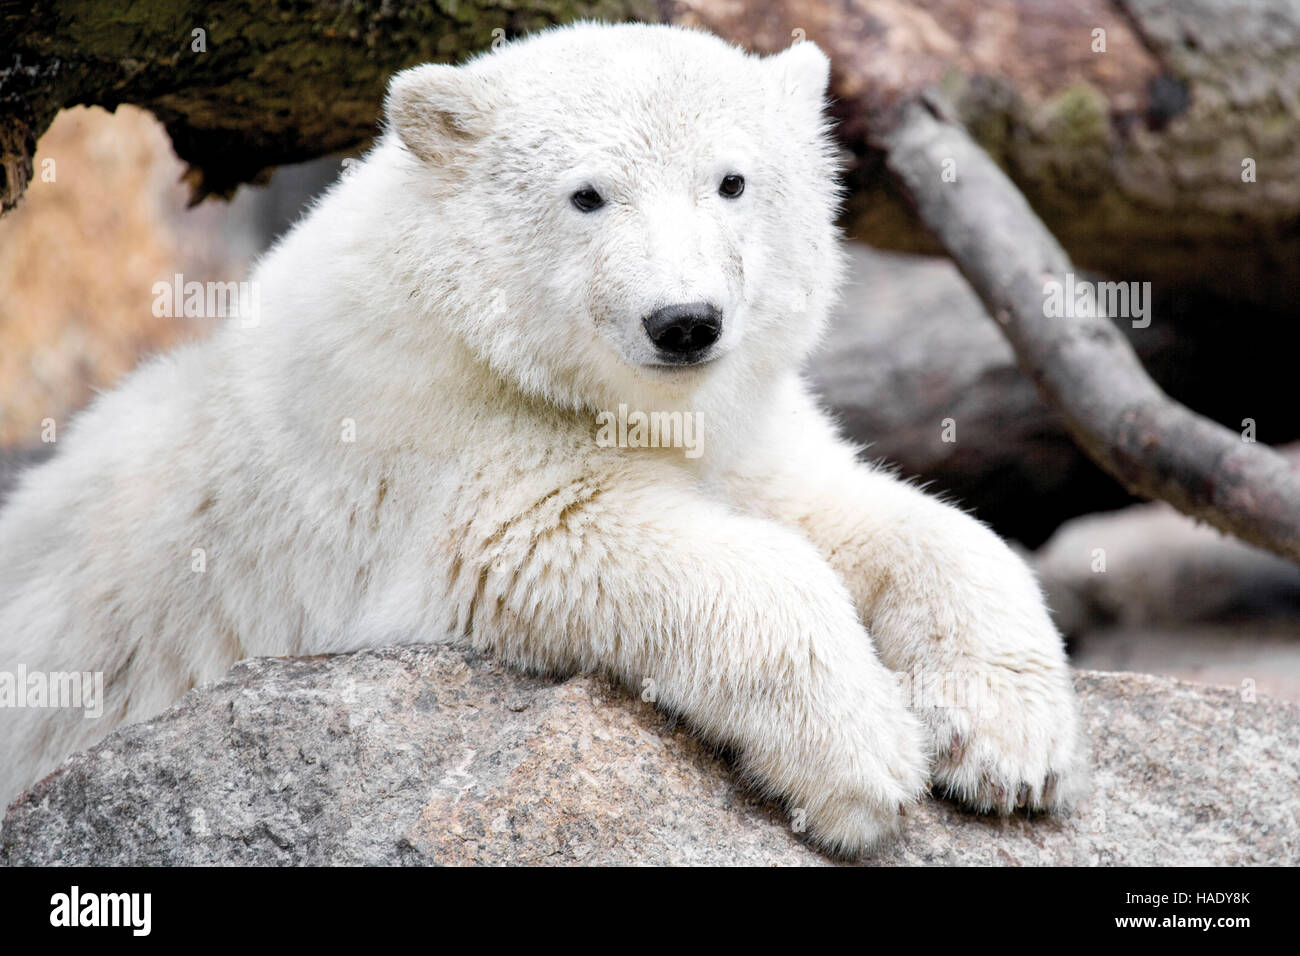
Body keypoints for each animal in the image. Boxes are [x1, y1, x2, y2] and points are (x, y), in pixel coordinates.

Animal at [0, 21, 1086, 854]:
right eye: (587, 193)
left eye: (732, 181)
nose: (684, 321)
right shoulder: (429, 446)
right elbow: (582, 534)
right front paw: (862, 764)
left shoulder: (738, 421)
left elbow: (887, 517)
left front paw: (1007, 744)